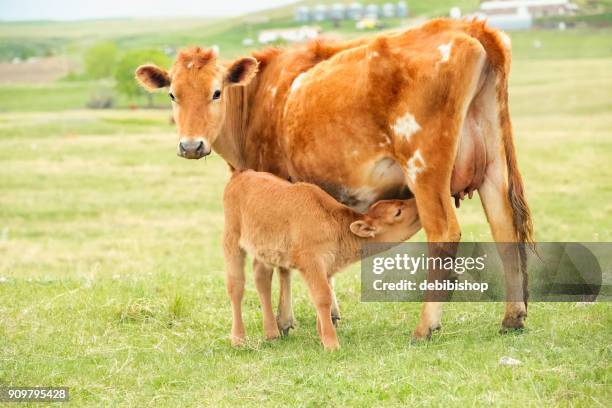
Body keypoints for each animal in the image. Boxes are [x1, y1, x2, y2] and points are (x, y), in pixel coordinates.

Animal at [225, 169, 420, 350]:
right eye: (397, 212)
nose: (417, 203)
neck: (334, 223)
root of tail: (242, 174)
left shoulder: (326, 266)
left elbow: (325, 295)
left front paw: (322, 335)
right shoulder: (312, 262)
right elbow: (322, 296)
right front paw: (332, 344)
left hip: (264, 252)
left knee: (262, 280)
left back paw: (272, 334)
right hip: (232, 241)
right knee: (236, 286)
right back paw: (238, 339)